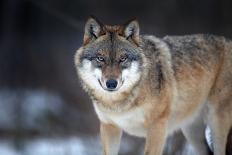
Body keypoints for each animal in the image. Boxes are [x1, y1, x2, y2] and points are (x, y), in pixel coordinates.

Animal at [75, 16, 232, 155]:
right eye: (100, 58)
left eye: (123, 58)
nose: (112, 83)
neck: (119, 104)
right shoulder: (109, 127)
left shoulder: (157, 126)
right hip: (191, 130)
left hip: (216, 123)